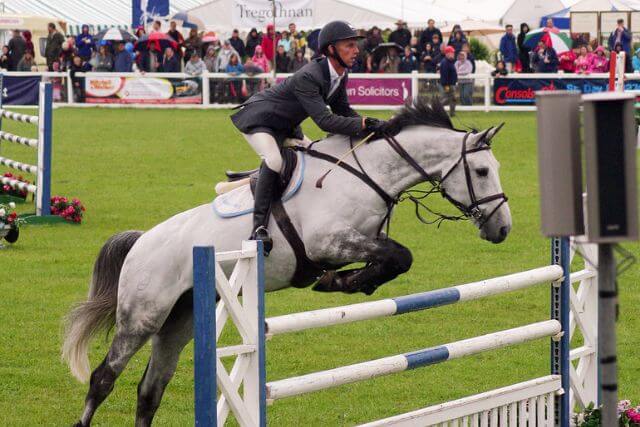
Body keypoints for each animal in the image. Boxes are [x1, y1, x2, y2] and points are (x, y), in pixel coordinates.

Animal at [61, 98, 510, 426]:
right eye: (482, 171)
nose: (502, 229)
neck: (367, 174)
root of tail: (141, 242)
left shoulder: (365, 239)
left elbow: (395, 257)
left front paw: (352, 281)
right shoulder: (328, 242)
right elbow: (400, 255)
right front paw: (340, 281)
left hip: (179, 322)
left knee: (149, 390)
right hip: (143, 316)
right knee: (103, 378)